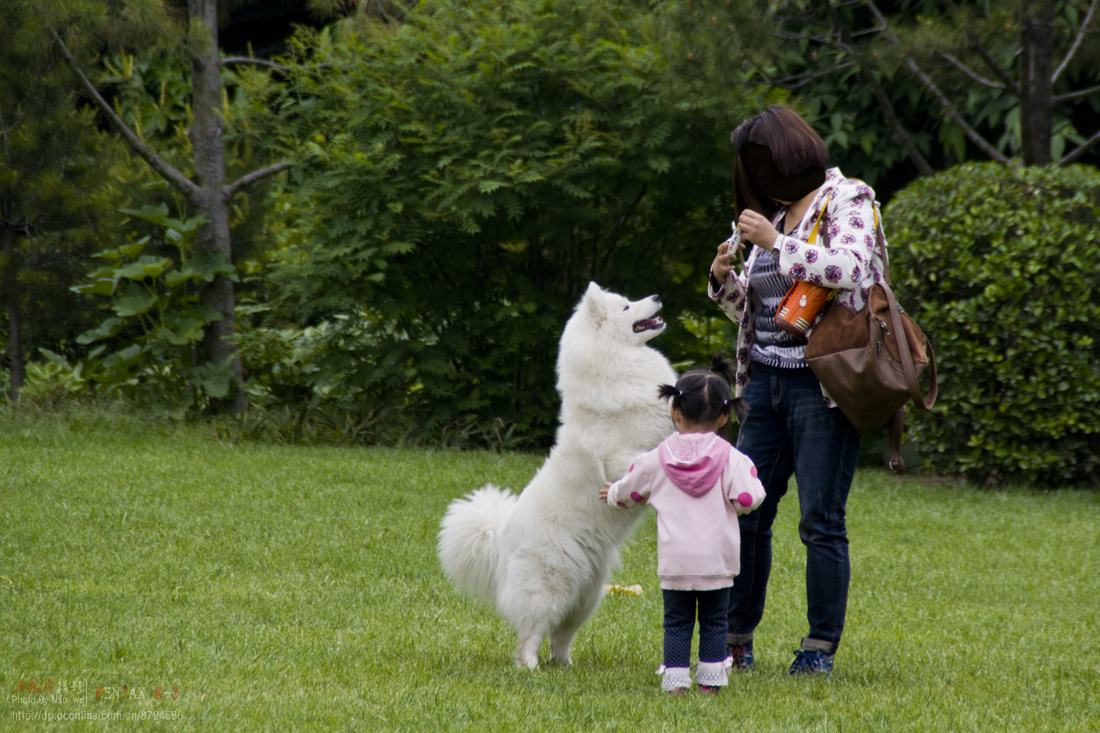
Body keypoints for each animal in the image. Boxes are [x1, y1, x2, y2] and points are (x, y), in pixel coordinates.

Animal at [433, 280, 673, 669]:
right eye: (625, 306)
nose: (655, 296)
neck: (617, 366)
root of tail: (501, 535)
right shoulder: (620, 455)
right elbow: (642, 461)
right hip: (549, 587)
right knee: (530, 634)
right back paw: (530, 667)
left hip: (586, 596)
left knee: (561, 635)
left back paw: (565, 665)